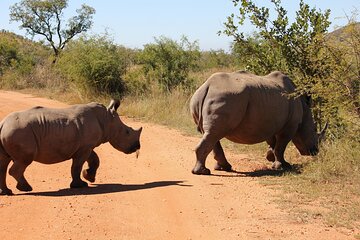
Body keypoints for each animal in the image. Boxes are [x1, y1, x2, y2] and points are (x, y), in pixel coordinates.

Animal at [0, 99, 143, 195]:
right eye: (127, 132)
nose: (137, 146)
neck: (106, 119)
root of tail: (3, 124)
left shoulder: (86, 145)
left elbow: (95, 159)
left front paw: (89, 177)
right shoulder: (85, 147)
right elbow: (77, 166)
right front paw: (80, 185)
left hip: (12, 132)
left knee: (4, 162)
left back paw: (7, 192)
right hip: (20, 132)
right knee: (23, 160)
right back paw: (26, 188)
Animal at [190, 71, 328, 174]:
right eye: (314, 131)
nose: (315, 151)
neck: (305, 109)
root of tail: (207, 86)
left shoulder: (269, 122)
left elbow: (273, 143)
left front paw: (270, 157)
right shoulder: (290, 126)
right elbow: (281, 145)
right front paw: (283, 166)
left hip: (200, 99)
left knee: (212, 135)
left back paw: (224, 168)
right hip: (225, 97)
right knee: (214, 134)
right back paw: (203, 172)